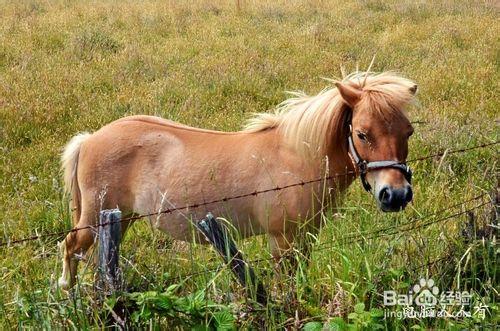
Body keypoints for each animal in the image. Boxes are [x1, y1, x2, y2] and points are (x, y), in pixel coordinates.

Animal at [56, 71, 416, 290]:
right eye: (362, 134)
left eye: (408, 131)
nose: (395, 194)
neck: (297, 158)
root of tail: (90, 140)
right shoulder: (281, 241)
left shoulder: (306, 238)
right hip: (94, 219)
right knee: (70, 247)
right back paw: (69, 292)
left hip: (122, 218)